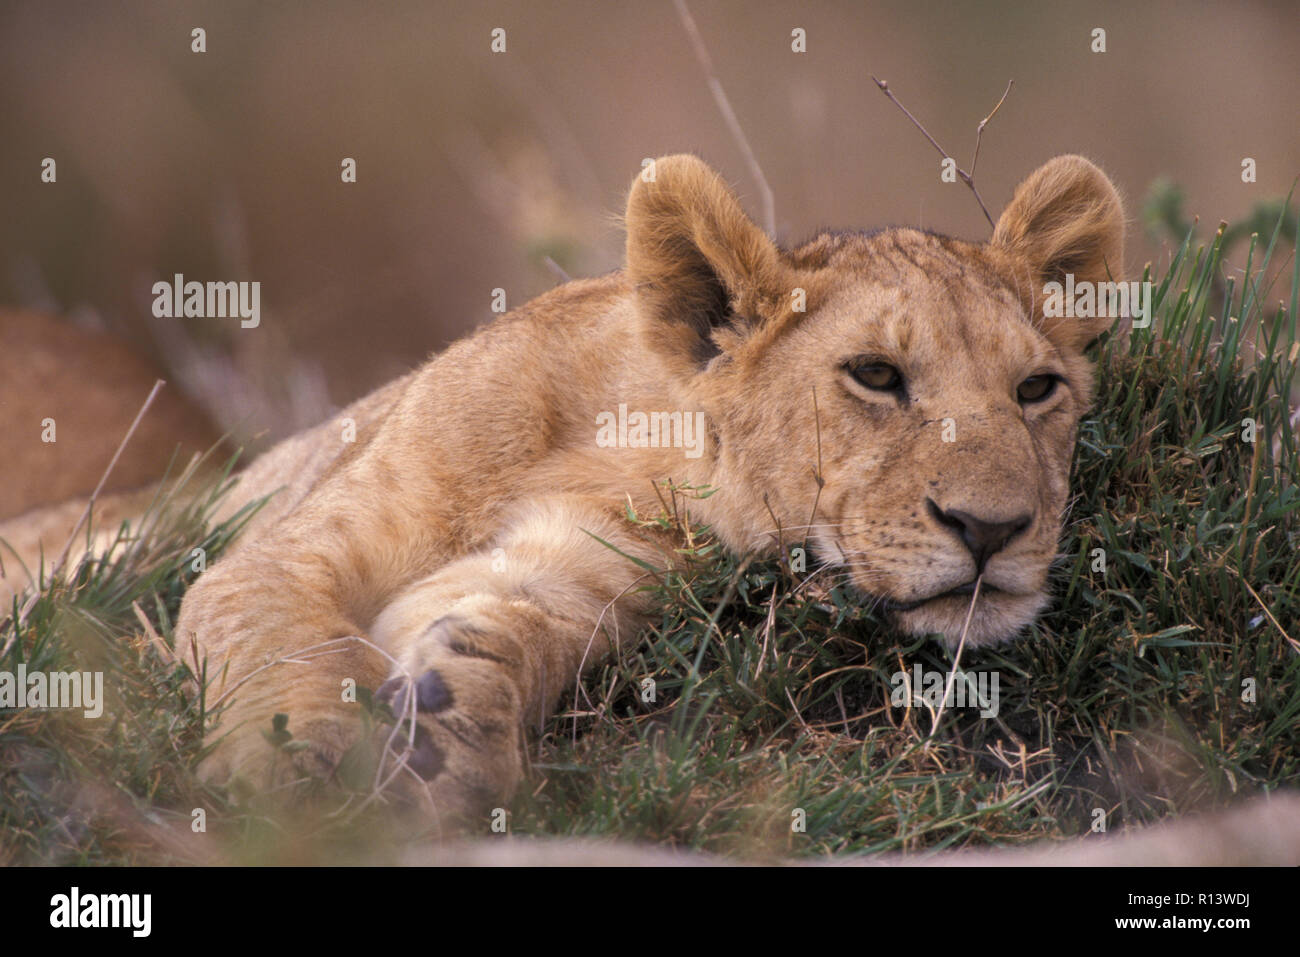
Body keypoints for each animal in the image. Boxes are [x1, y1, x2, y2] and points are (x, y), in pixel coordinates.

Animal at [139, 152, 1125, 821]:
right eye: (876, 375)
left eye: (1037, 389)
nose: (993, 529)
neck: (637, 449)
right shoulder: (287, 548)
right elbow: (277, 631)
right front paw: (294, 765)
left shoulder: (580, 576)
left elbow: (507, 635)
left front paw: (450, 740)